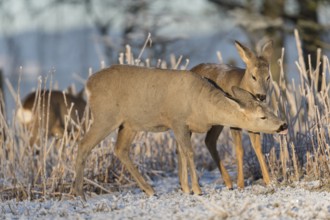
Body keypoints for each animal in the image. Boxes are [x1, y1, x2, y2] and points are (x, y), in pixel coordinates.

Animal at [72, 64, 286, 199]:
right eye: (262, 117)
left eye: (270, 109)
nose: (283, 125)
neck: (202, 107)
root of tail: (88, 85)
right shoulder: (178, 121)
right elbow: (189, 153)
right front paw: (197, 189)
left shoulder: (184, 126)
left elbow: (182, 152)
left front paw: (186, 188)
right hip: (105, 116)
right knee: (83, 145)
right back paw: (79, 194)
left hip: (129, 124)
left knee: (120, 150)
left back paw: (150, 190)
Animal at [189, 39, 274, 189]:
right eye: (253, 76)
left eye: (268, 77)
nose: (261, 96)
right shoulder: (234, 122)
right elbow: (239, 149)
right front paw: (240, 184)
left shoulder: (254, 122)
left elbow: (257, 147)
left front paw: (269, 181)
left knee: (209, 141)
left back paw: (228, 183)